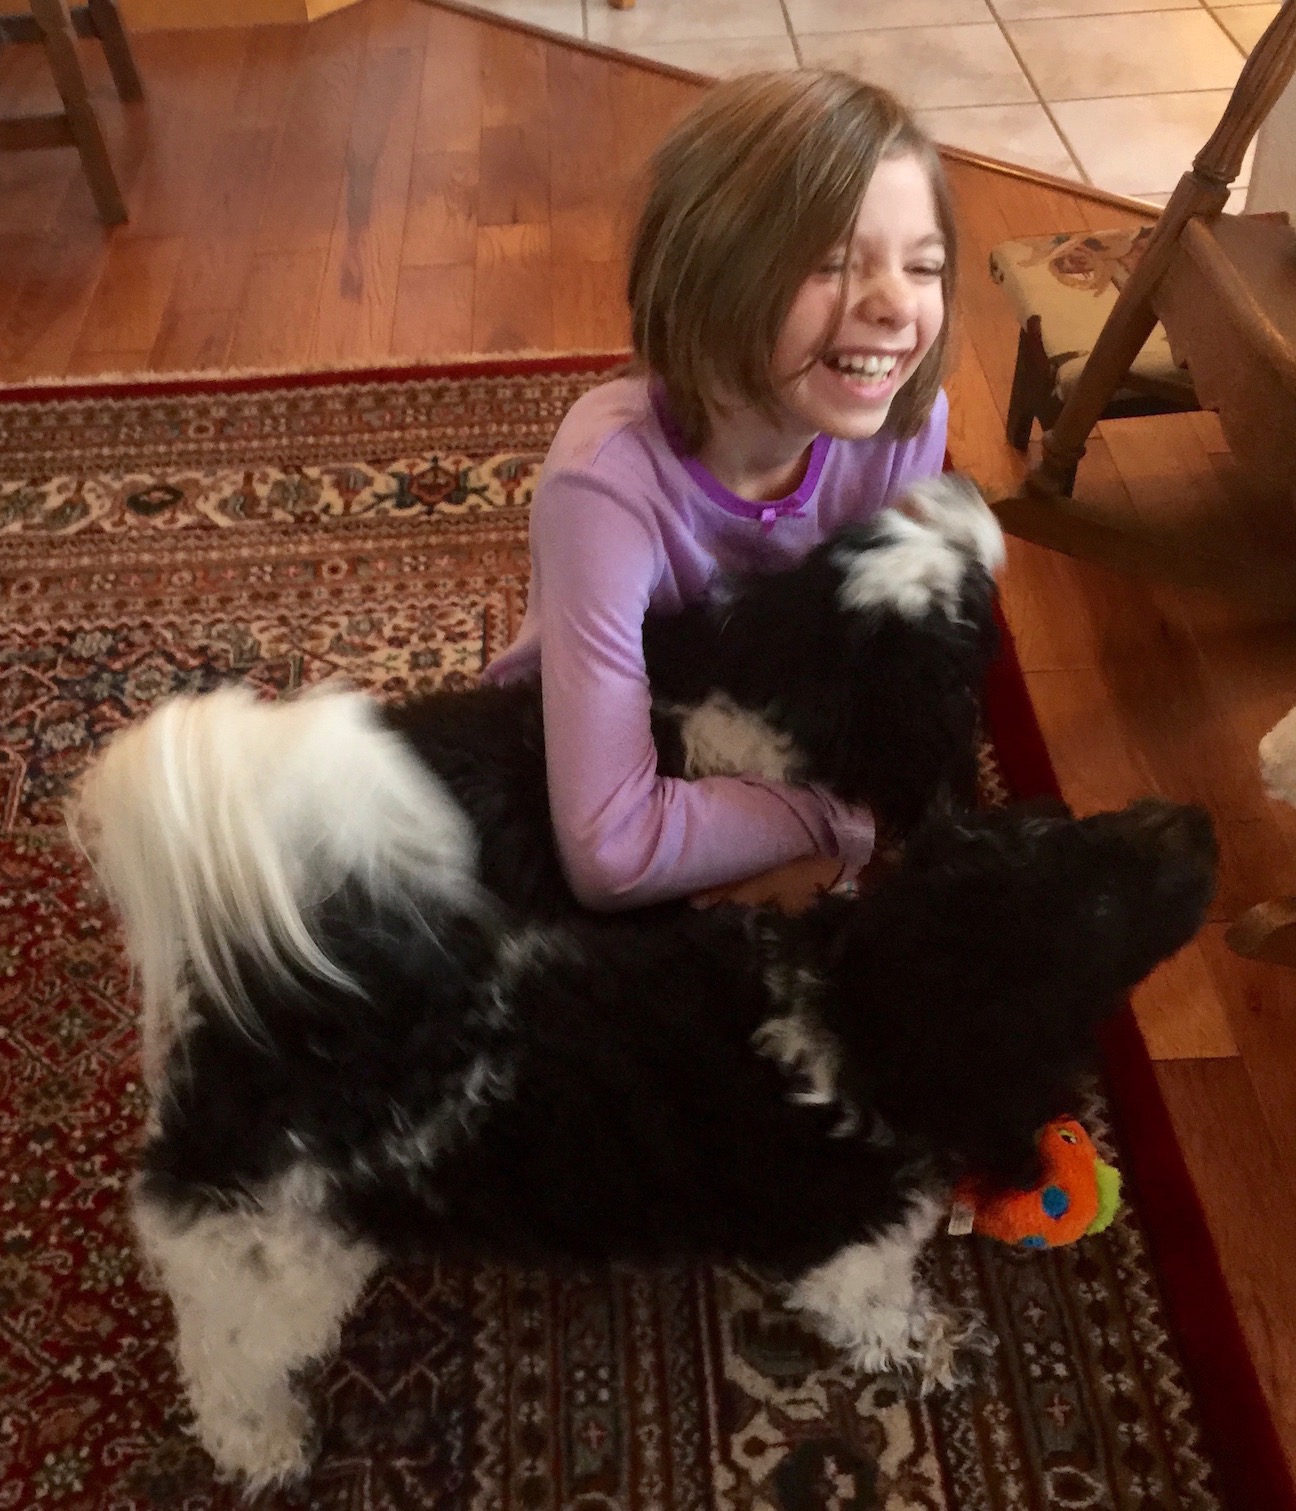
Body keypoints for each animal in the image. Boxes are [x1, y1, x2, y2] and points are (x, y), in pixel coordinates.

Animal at [68, 480, 1214, 1486]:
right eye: (973, 615)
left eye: (854, 536)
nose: (967, 488)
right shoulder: (845, 1241)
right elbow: (876, 1301)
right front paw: (929, 1344)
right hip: (276, 1258)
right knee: (224, 1354)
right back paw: (259, 1441)